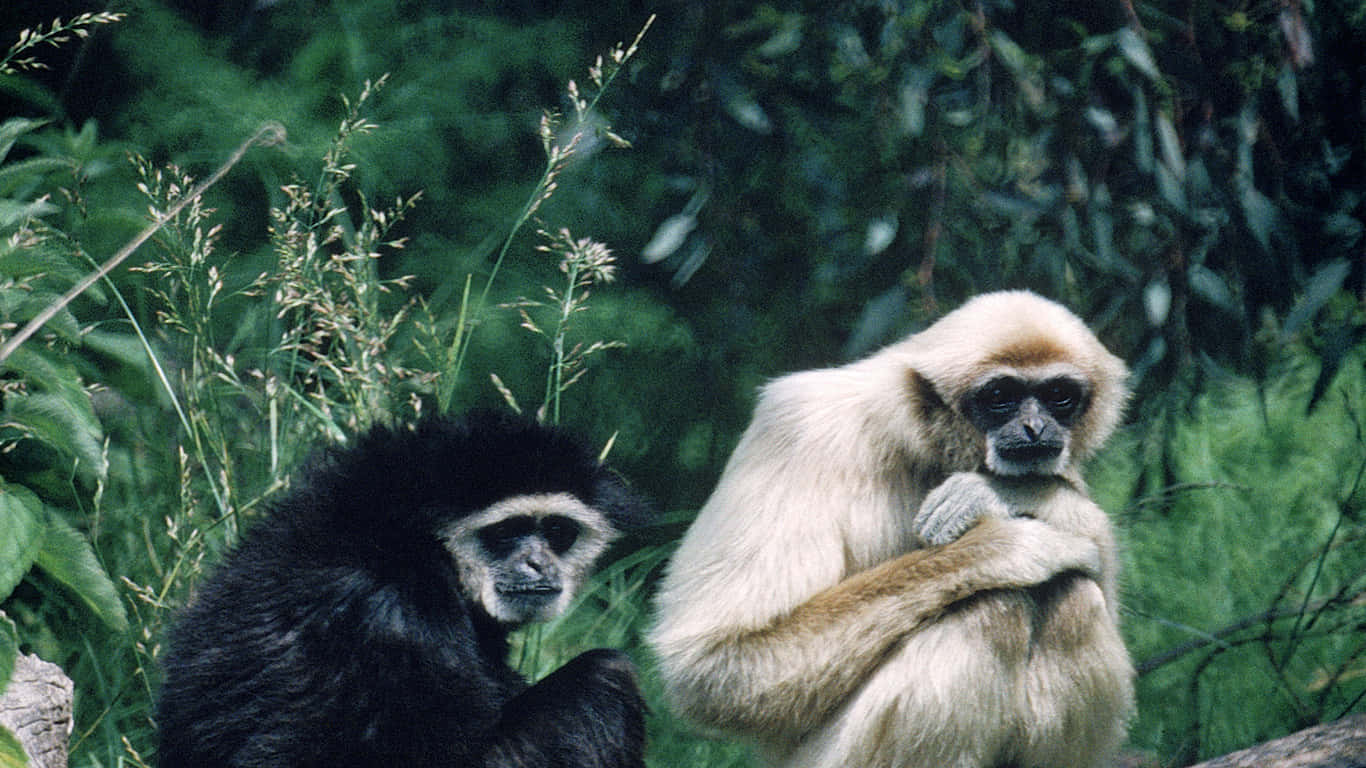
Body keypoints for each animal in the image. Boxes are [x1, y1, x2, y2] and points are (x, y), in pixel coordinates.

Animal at [156, 409, 652, 768]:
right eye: (507, 532)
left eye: (556, 531)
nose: (538, 562)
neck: (403, 537)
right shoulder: (393, 616)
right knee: (604, 677)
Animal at [648, 290, 1134, 768]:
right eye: (1001, 395)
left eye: (1059, 395)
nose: (1035, 426)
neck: (924, 442)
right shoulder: (796, 430)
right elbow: (715, 663)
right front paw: (1003, 544)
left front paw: (1005, 492)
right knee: (993, 607)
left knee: (1074, 594)